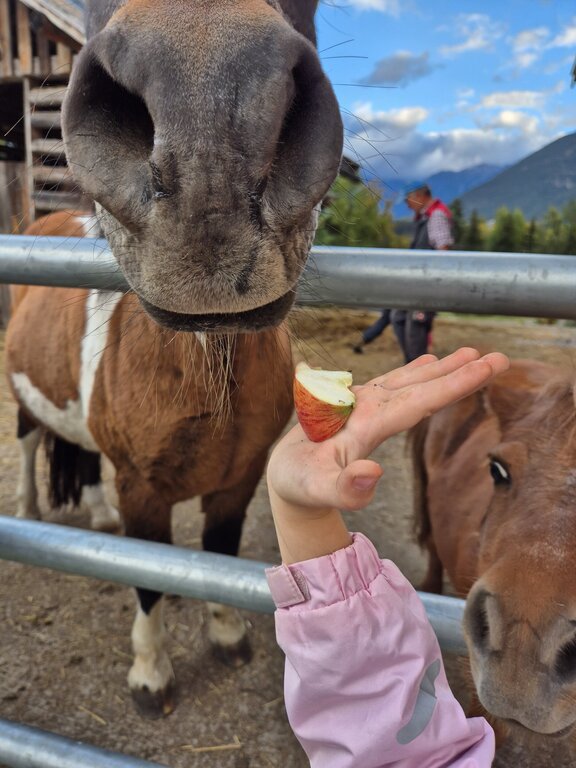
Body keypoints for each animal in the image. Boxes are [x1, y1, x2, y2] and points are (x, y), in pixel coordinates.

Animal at [6, 210, 294, 718]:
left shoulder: (241, 475)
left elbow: (219, 553)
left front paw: (227, 634)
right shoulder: (140, 486)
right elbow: (147, 578)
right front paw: (151, 674)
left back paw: (102, 516)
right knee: (28, 441)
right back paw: (28, 509)